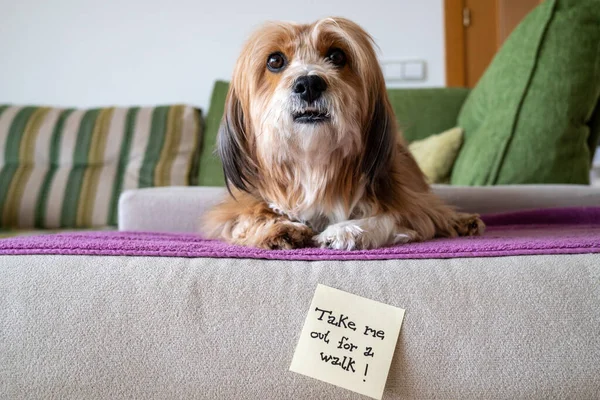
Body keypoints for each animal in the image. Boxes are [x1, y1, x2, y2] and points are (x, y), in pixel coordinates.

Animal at [204, 18, 486, 250]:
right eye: (275, 61)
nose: (309, 84)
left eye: (337, 56)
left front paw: (345, 230)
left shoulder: (412, 204)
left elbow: (394, 214)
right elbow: (248, 216)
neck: (312, 162)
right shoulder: (234, 209)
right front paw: (280, 227)